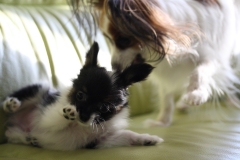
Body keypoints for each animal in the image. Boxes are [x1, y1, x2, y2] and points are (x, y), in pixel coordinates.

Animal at [1, 42, 162, 151]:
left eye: (104, 108)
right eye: (80, 95)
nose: (83, 116)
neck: (80, 125)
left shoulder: (101, 140)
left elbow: (127, 135)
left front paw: (147, 138)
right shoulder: (47, 119)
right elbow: (57, 117)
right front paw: (69, 112)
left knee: (10, 134)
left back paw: (27, 138)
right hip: (39, 88)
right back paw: (11, 104)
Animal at [71, 0, 240, 127]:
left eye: (124, 40)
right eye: (108, 40)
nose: (115, 69)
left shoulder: (213, 53)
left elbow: (200, 72)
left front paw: (197, 93)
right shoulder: (166, 71)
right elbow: (166, 97)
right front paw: (162, 122)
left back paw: (232, 101)